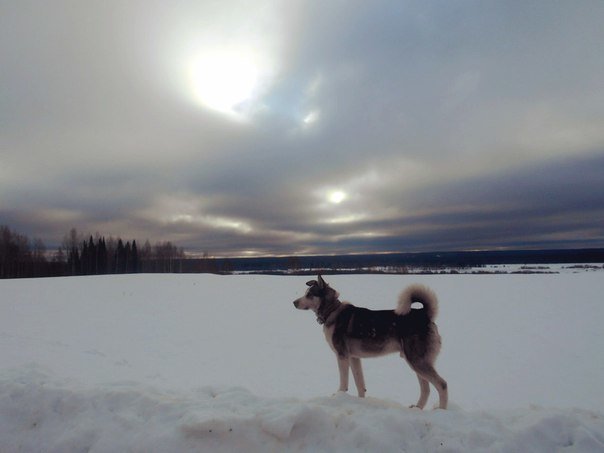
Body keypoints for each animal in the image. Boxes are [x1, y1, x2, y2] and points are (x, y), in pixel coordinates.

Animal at [294, 274, 446, 408]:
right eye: (306, 293)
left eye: (309, 294)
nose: (294, 302)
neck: (332, 310)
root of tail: (424, 314)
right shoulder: (354, 358)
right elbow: (360, 385)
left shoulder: (342, 356)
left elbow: (343, 383)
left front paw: (338, 396)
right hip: (416, 362)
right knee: (426, 389)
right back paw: (417, 408)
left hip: (417, 361)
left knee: (442, 385)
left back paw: (441, 410)